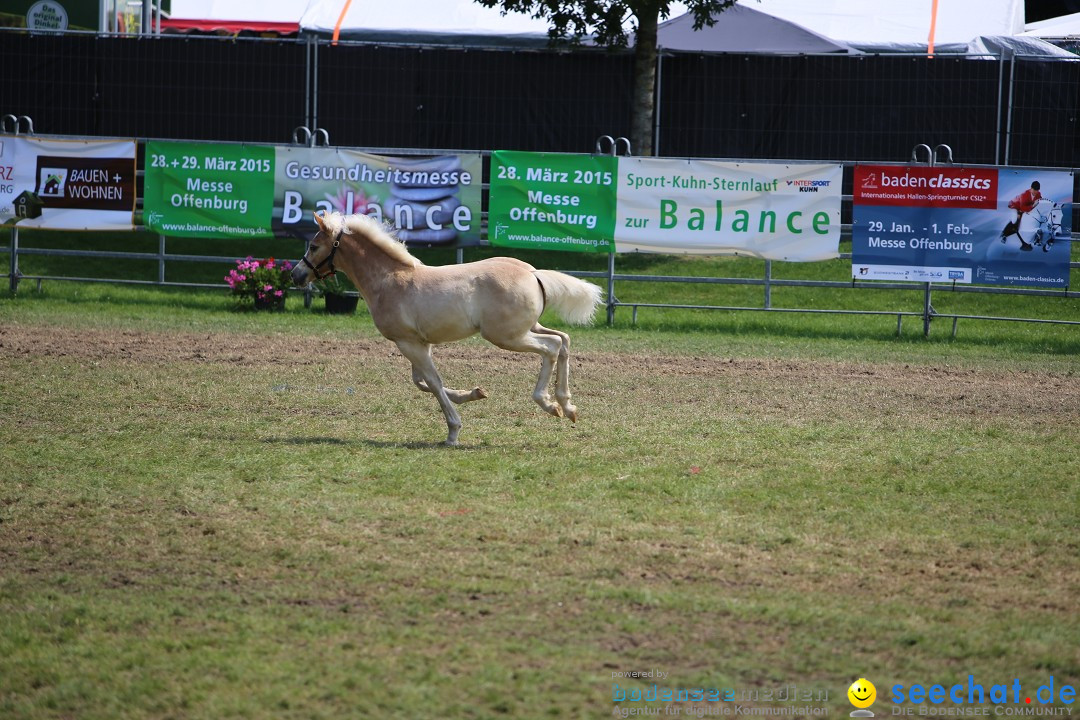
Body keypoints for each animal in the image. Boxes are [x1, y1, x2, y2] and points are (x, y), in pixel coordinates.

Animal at [291, 211, 604, 444]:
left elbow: (432, 382)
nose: (296, 275)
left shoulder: (408, 343)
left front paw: (453, 431)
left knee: (551, 347)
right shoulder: (419, 342)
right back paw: (567, 406)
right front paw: (474, 394)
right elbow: (422, 382)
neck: (389, 280)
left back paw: (549, 404)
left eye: (314, 246)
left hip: (506, 336)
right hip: (528, 327)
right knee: (564, 340)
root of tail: (532, 272)